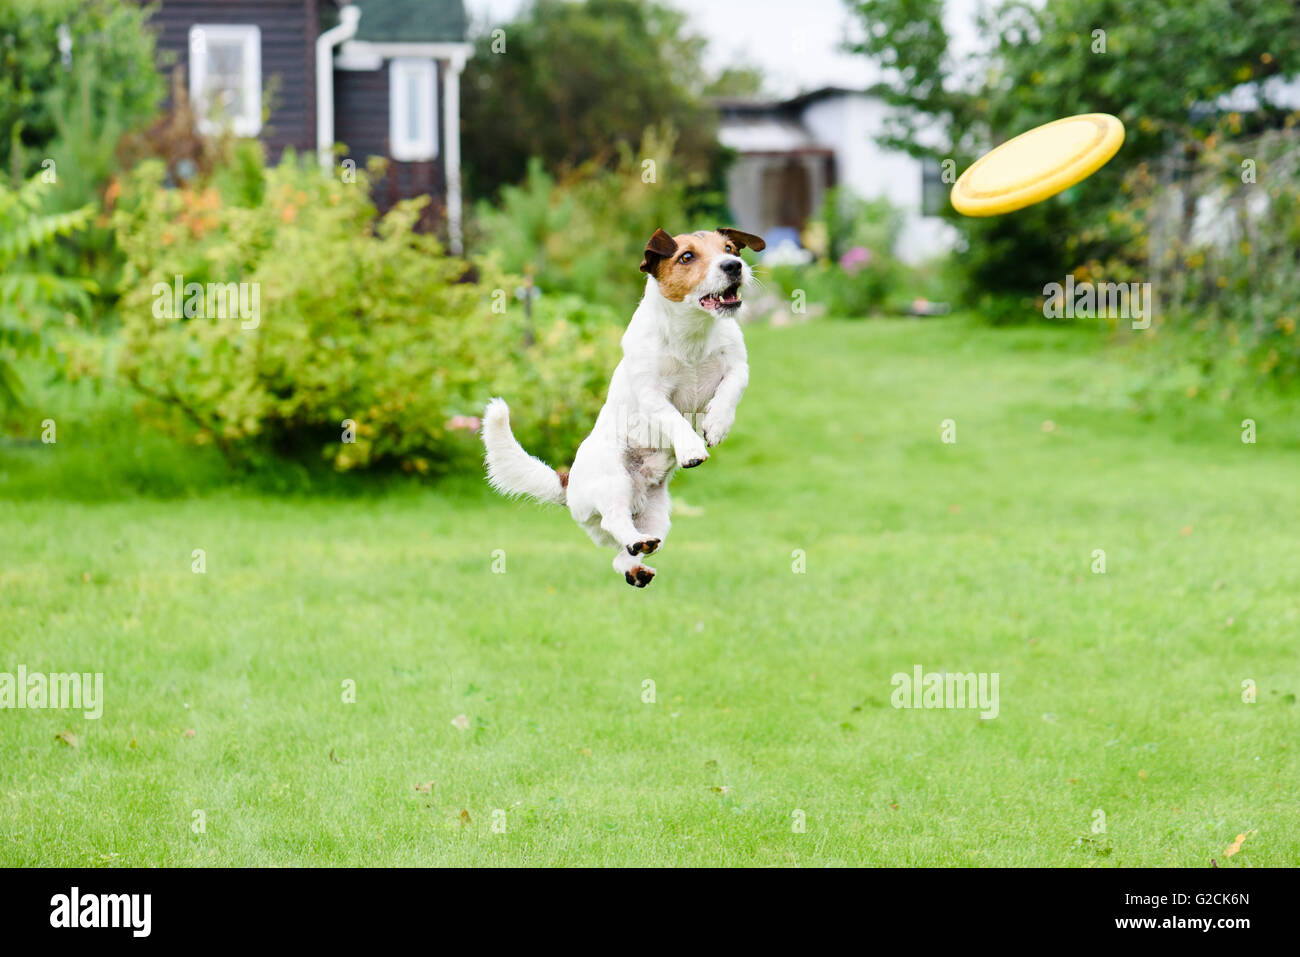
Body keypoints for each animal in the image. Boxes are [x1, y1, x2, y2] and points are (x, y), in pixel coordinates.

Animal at [486, 226, 759, 582]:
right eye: (686, 256)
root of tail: (568, 485)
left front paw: (716, 424)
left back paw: (637, 565)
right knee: (614, 519)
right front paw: (691, 448)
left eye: (729, 249)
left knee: (624, 553)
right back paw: (634, 544)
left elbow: (731, 390)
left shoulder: (738, 366)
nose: (734, 266)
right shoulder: (651, 394)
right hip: (614, 480)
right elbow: (673, 419)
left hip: (658, 516)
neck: (692, 334)